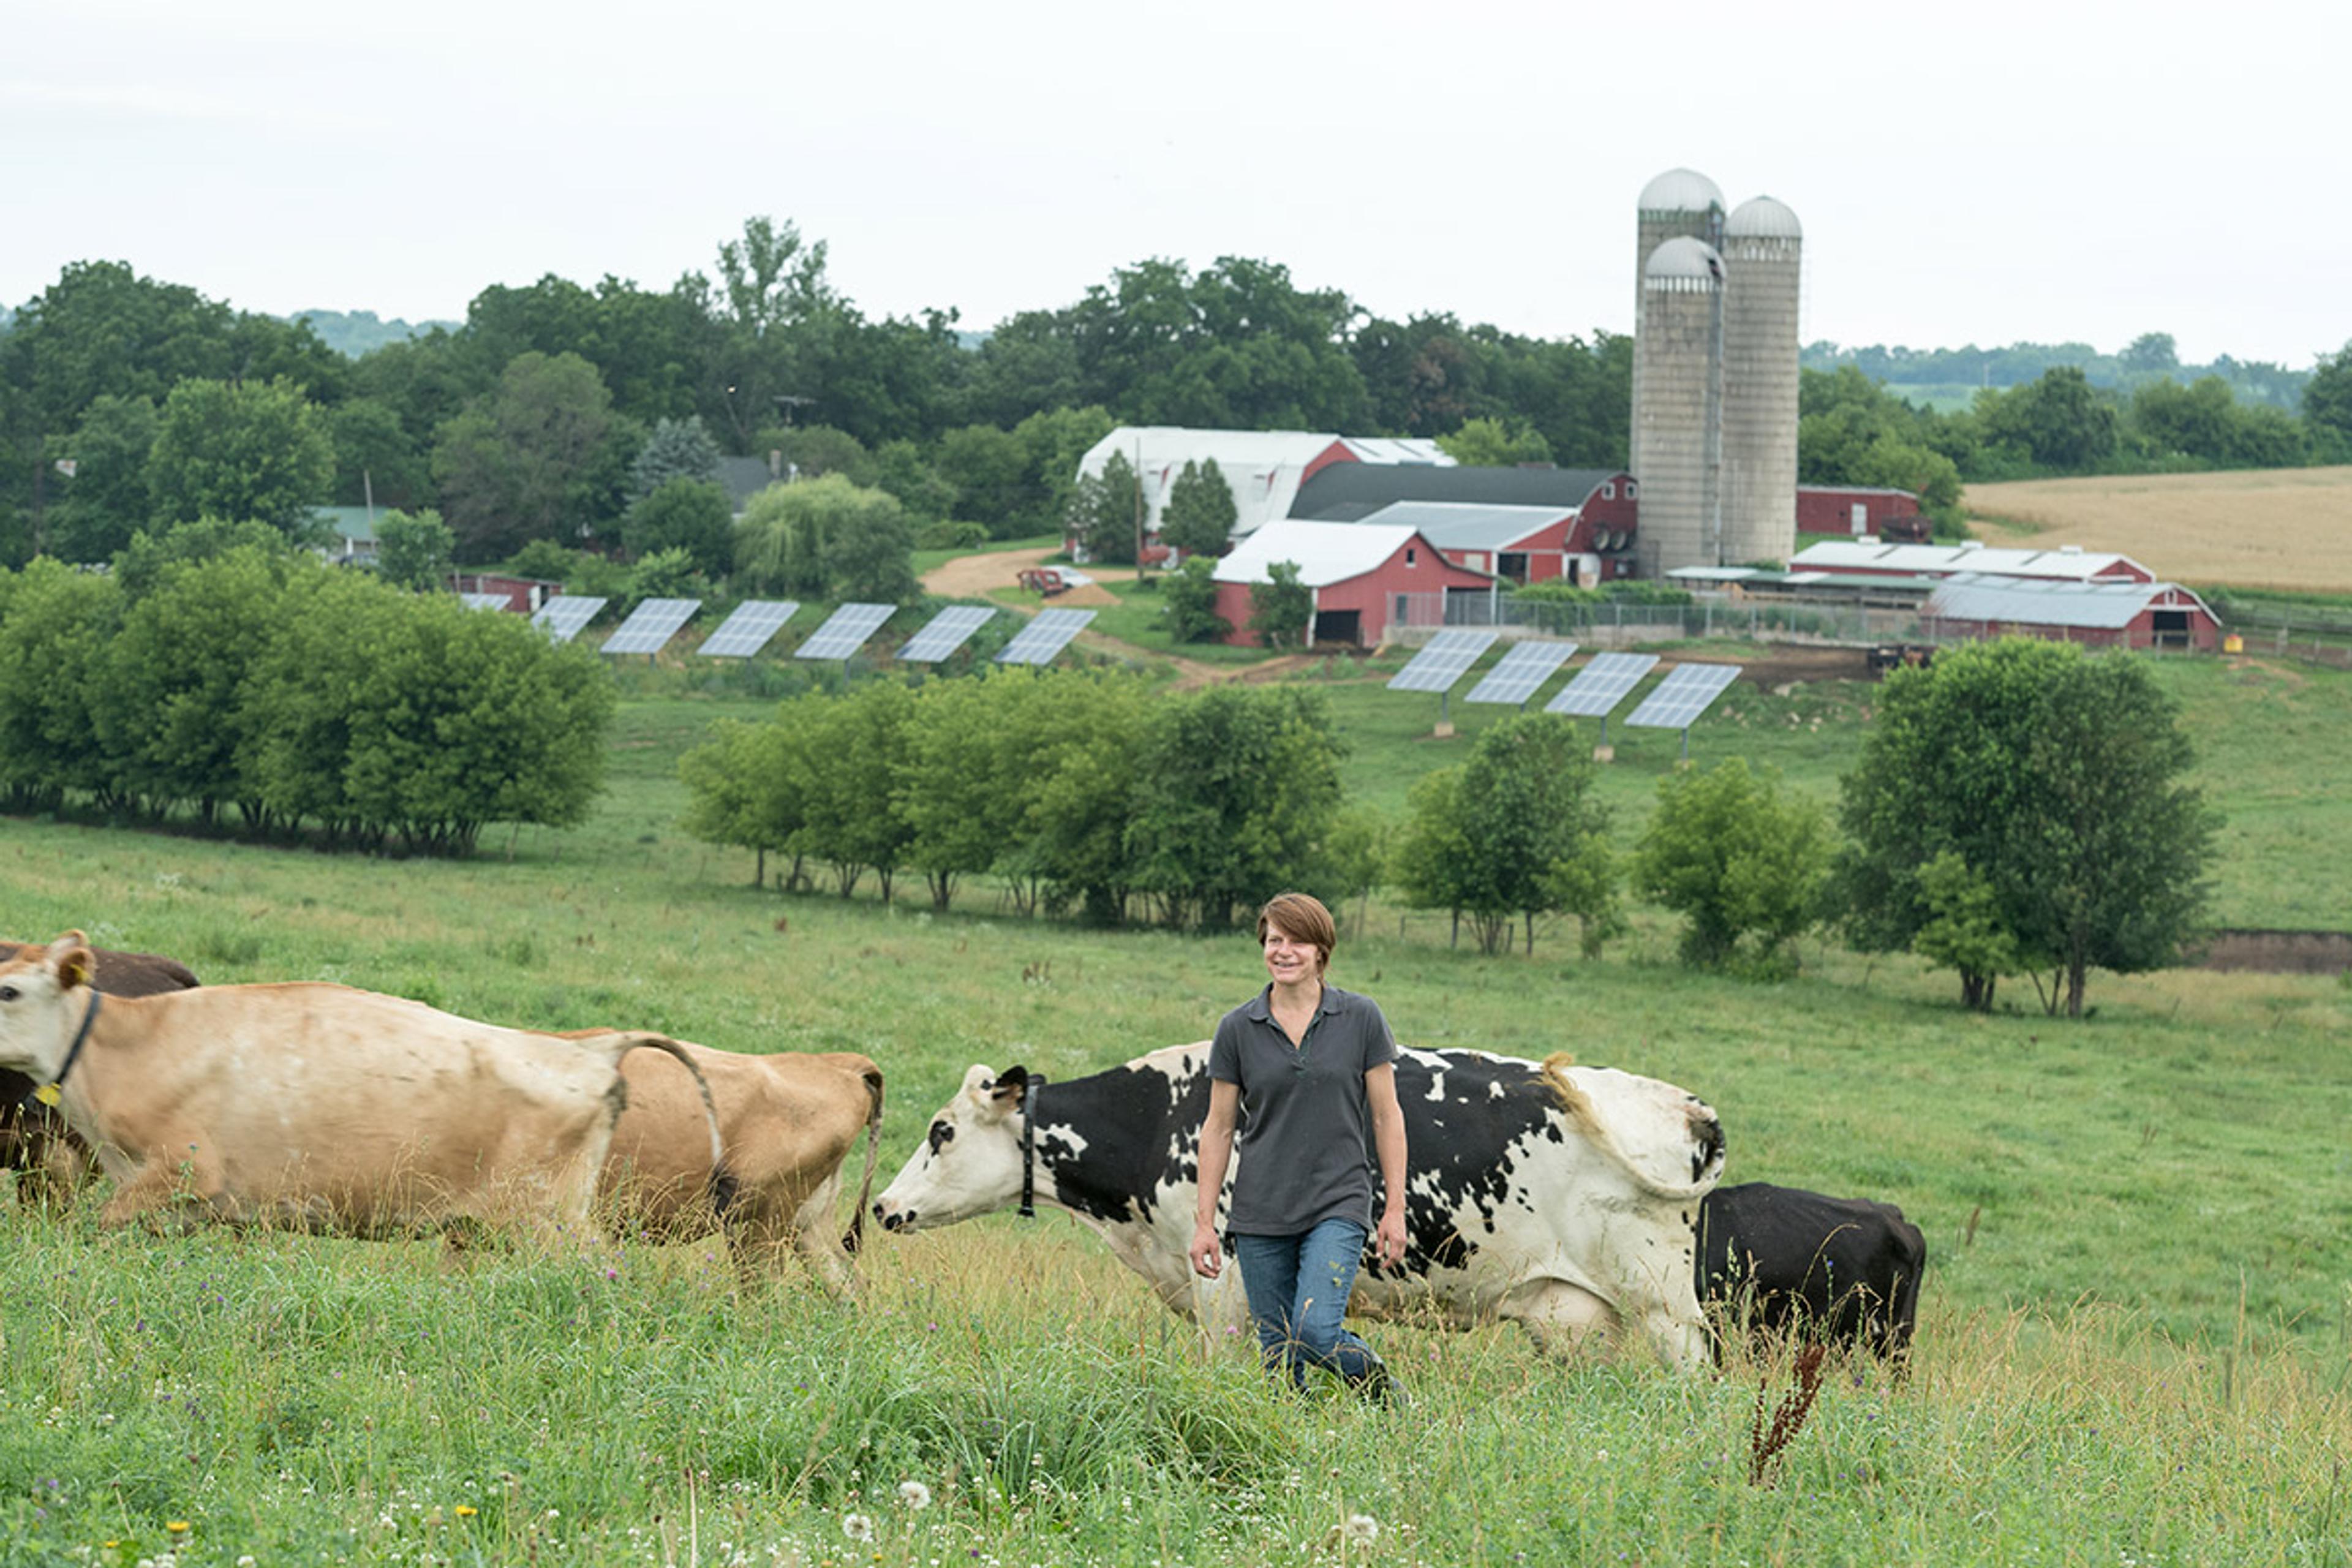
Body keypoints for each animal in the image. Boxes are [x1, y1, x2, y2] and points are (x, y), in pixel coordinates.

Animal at [884, 1048, 1731, 1363]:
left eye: (941, 1130)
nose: (886, 1206)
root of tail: (1685, 1104)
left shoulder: (1221, 1279)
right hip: (1580, 1313)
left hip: (1665, 1306)